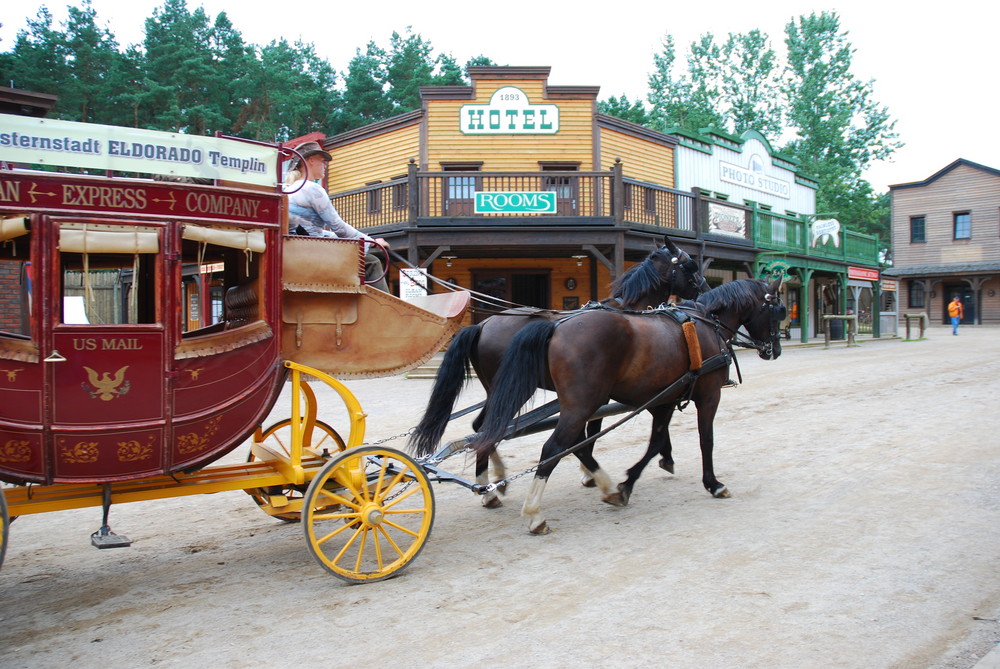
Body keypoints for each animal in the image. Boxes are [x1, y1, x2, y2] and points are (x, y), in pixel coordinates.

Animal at [404, 235, 704, 500]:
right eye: (690, 265)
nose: (702, 289)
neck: (625, 312)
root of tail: (483, 324)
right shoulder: (600, 394)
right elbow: (592, 433)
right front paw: (597, 473)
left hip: (497, 389)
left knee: (483, 427)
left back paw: (493, 481)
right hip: (517, 389)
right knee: (490, 428)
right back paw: (491, 486)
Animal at [464, 276, 784, 532]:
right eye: (778, 311)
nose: (775, 350)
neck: (705, 323)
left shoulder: (664, 399)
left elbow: (655, 442)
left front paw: (628, 482)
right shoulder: (708, 396)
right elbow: (706, 440)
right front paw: (713, 483)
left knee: (487, 429)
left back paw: (491, 487)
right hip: (575, 402)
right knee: (552, 447)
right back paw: (533, 512)